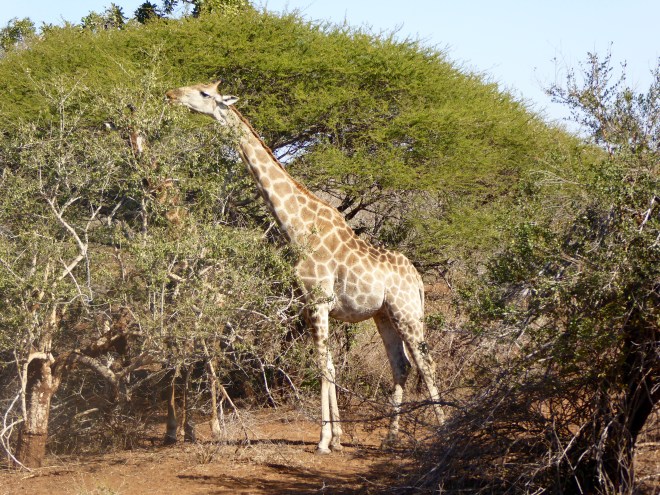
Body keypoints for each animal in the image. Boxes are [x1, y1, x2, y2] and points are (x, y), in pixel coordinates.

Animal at [165, 81, 445, 453]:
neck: (297, 228)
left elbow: (323, 366)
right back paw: (390, 438)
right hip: (384, 314)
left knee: (427, 363)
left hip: (407, 311)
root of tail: (418, 280)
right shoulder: (313, 304)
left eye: (204, 93)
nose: (171, 95)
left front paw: (324, 440)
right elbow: (330, 365)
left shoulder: (317, 300)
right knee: (401, 366)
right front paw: (337, 438)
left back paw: (443, 430)